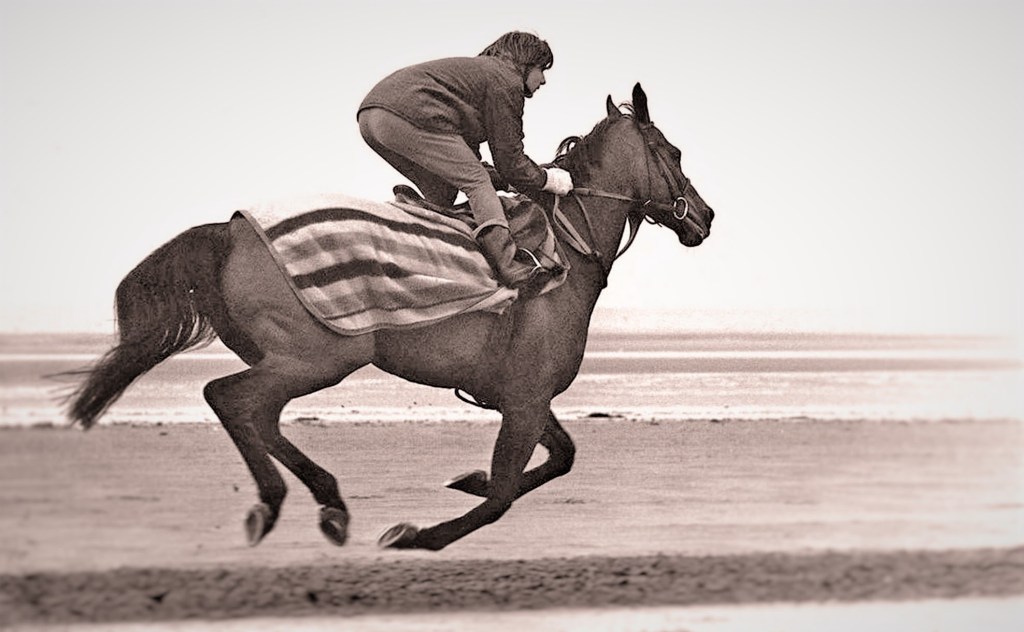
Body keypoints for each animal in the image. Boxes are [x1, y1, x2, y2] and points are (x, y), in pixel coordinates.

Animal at [66, 83, 714, 551]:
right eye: (675, 153)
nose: (705, 217)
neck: (567, 249)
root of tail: (231, 229)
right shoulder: (526, 397)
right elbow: (504, 495)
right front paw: (416, 535)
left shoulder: (518, 393)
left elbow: (560, 457)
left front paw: (467, 479)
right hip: (317, 357)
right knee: (229, 398)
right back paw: (277, 503)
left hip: (292, 360)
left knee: (258, 415)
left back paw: (328, 504)